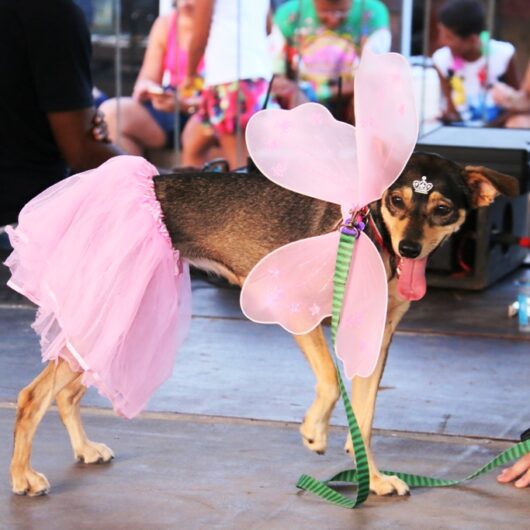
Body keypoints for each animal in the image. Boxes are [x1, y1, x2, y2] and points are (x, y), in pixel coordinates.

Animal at [8, 150, 516, 496]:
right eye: (395, 200)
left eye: (442, 209)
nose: (409, 248)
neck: (370, 238)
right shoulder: (298, 312)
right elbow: (330, 383)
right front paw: (314, 432)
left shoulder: (374, 341)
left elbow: (365, 420)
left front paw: (370, 479)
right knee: (32, 395)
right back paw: (22, 475)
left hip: (114, 320)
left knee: (66, 392)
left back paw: (84, 449)